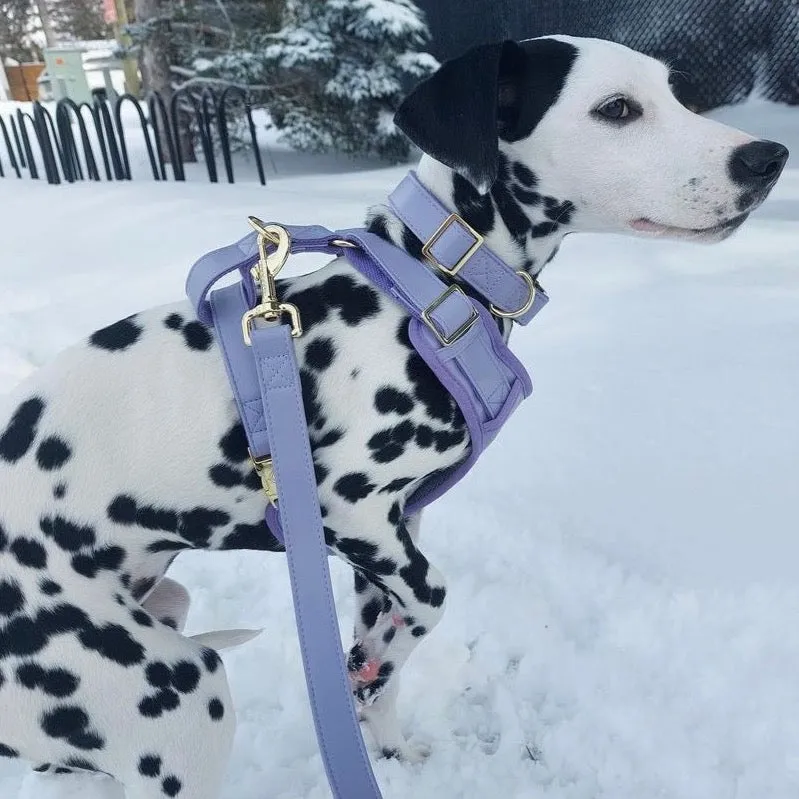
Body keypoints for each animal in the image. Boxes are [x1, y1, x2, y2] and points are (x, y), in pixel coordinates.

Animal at [0, 34, 788, 799]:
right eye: (617, 108)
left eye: (674, 92)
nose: (767, 157)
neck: (433, 284)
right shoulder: (350, 512)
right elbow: (431, 600)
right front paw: (371, 672)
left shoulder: (392, 534)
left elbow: (389, 650)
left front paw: (382, 727)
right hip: (180, 696)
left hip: (166, 608)